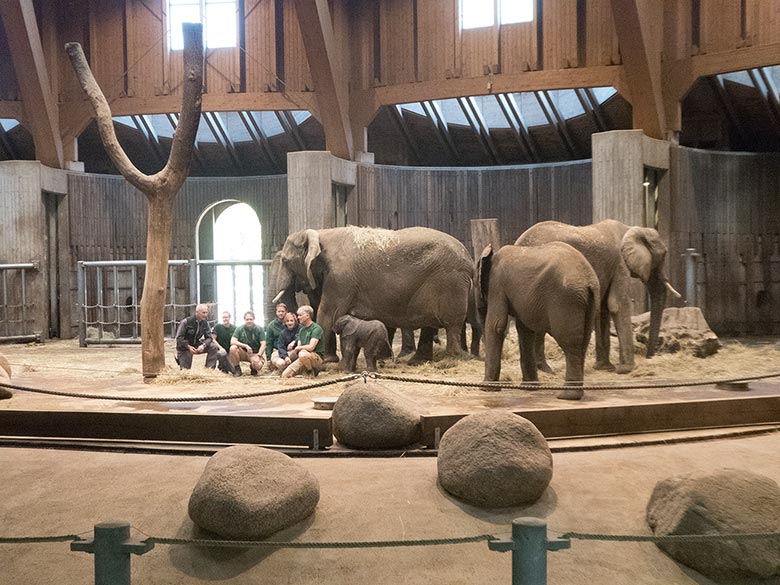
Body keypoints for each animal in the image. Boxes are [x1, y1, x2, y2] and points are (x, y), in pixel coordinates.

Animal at [272, 226, 472, 362]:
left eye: (285, 260)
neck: (320, 233)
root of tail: (469, 258)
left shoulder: (341, 278)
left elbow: (328, 313)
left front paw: (325, 360)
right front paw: (330, 360)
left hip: (451, 281)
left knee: (452, 323)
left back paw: (454, 359)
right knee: (429, 324)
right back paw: (416, 362)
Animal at [476, 240, 596, 400]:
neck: (492, 254)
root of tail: (588, 279)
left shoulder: (497, 283)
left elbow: (496, 325)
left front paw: (486, 388)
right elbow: (525, 330)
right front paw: (529, 388)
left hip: (566, 299)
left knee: (570, 343)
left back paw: (567, 396)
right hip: (589, 301)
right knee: (584, 340)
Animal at [516, 219, 680, 374]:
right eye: (664, 255)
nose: (649, 357)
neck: (632, 229)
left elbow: (603, 307)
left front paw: (605, 368)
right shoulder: (620, 264)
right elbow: (617, 305)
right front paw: (626, 369)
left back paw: (543, 369)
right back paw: (546, 369)